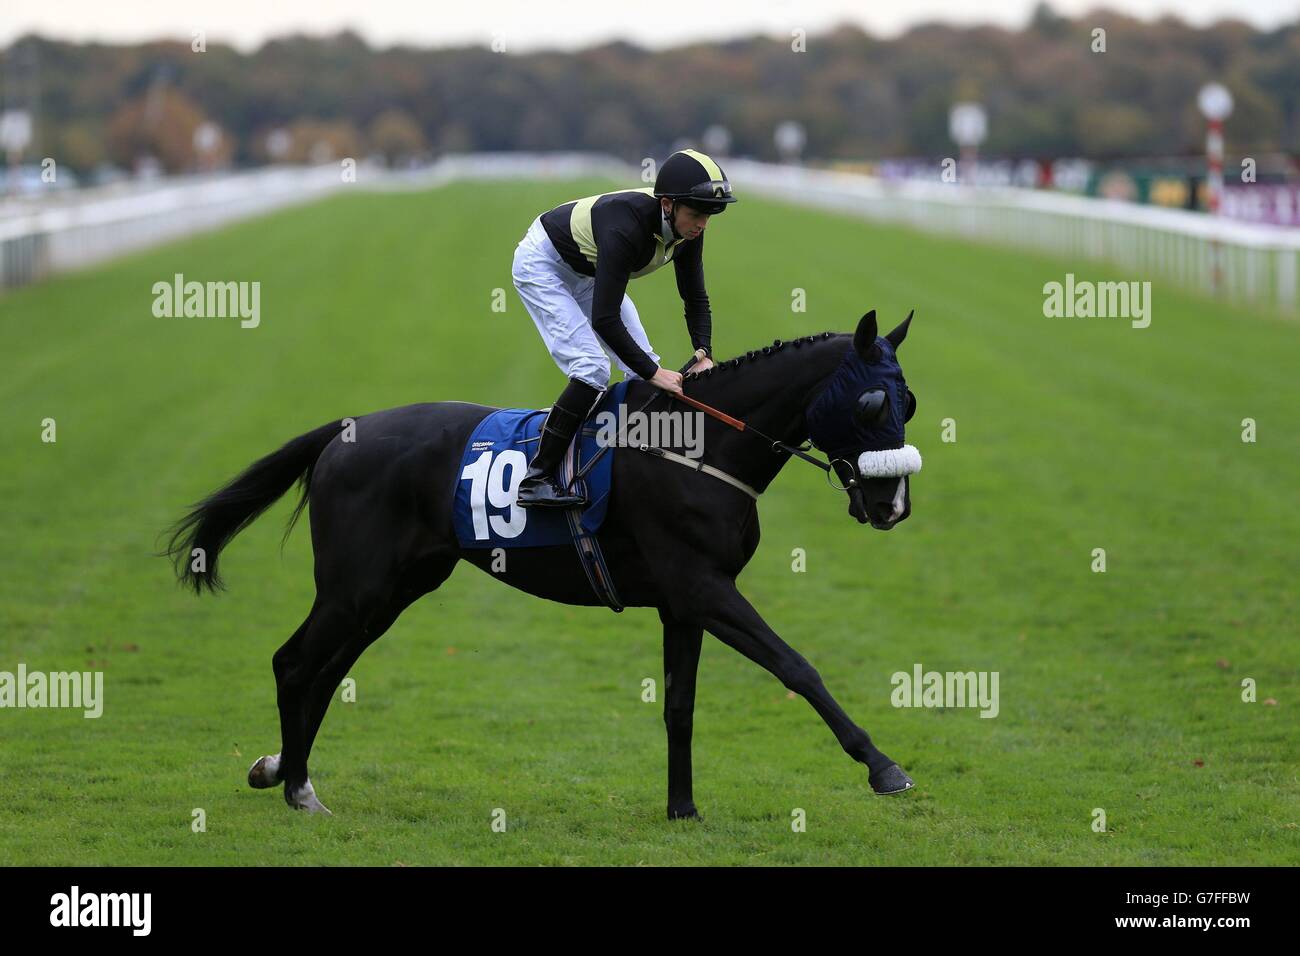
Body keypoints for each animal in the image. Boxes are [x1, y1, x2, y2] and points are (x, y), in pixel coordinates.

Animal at [166, 309, 922, 818]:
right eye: (872, 401)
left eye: (909, 402)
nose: (893, 504)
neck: (699, 447)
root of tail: (342, 431)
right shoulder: (704, 587)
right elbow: (797, 666)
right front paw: (883, 767)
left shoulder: (683, 601)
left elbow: (680, 705)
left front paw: (682, 809)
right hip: (355, 585)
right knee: (295, 664)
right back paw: (294, 786)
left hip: (394, 589)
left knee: (326, 672)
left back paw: (283, 771)